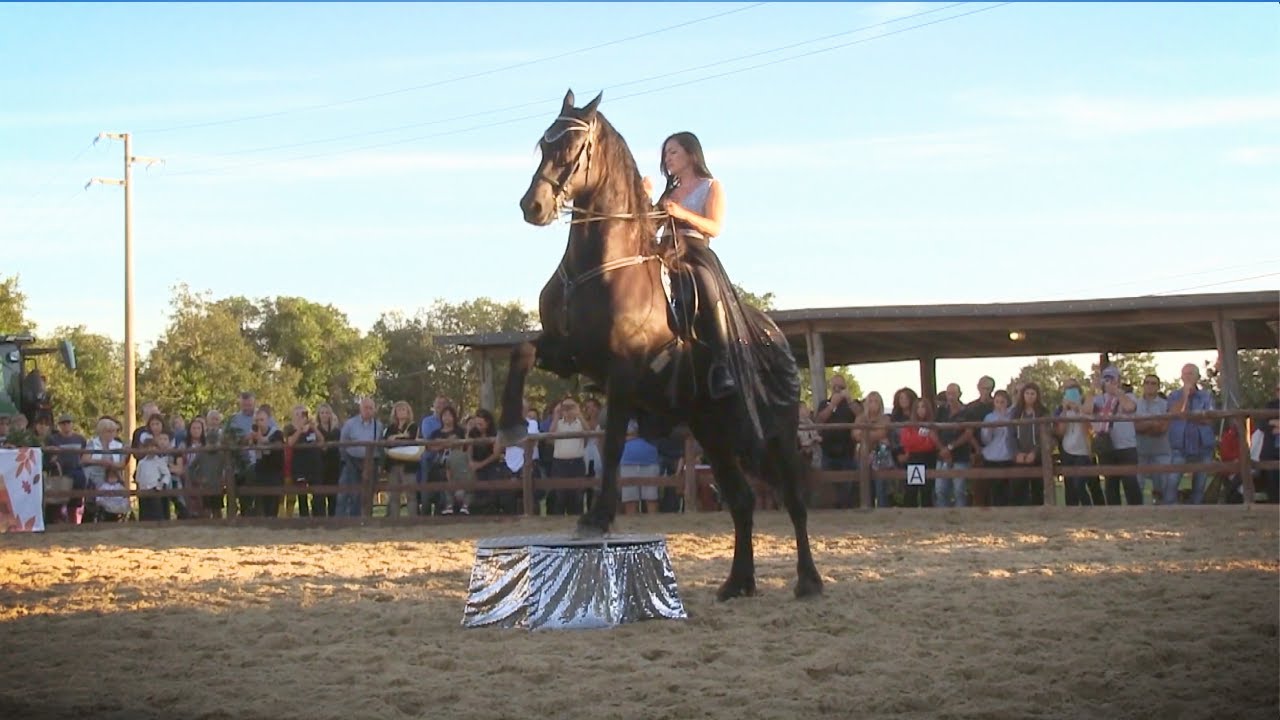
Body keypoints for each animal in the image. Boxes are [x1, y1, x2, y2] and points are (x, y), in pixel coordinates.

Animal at [498, 89, 822, 600]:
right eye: (544, 143)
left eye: (574, 147)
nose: (534, 205)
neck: (601, 267)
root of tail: (775, 339)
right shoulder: (567, 354)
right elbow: (521, 352)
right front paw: (511, 425)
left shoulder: (622, 373)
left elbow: (612, 441)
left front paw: (598, 517)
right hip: (712, 431)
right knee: (742, 500)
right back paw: (737, 583)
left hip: (778, 433)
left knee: (793, 499)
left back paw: (808, 581)